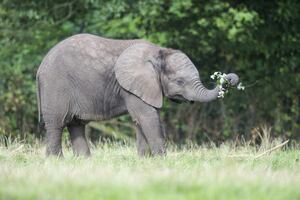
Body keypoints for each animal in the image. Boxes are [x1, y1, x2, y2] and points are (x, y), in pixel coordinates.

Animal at [36, 33, 239, 157]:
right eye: (179, 81)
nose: (230, 78)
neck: (157, 52)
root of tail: (40, 67)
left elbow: (144, 119)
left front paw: (145, 160)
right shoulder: (130, 86)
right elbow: (147, 117)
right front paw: (162, 161)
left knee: (76, 125)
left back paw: (84, 162)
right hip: (55, 85)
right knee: (57, 124)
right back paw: (57, 161)